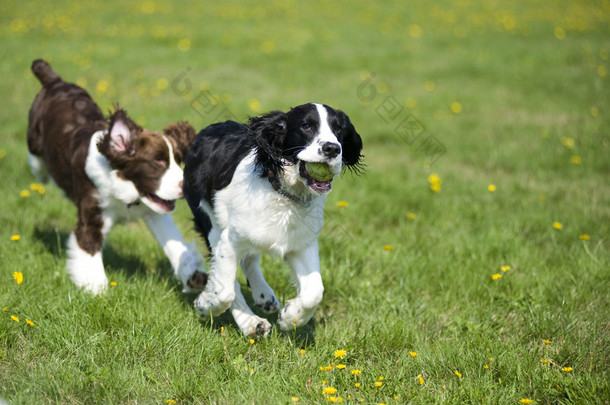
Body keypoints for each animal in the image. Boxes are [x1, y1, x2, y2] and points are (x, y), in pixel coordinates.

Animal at [27, 59, 207, 294]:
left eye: (179, 160)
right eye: (158, 162)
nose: (187, 186)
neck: (123, 187)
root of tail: (55, 82)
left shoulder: (154, 212)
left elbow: (174, 241)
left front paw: (194, 277)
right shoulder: (93, 213)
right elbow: (89, 249)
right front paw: (98, 291)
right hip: (34, 140)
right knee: (37, 163)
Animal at [180, 102, 360, 334]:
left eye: (338, 129)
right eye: (306, 126)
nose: (332, 148)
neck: (282, 192)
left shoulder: (302, 244)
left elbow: (314, 292)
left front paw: (290, 317)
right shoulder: (229, 241)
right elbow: (225, 290)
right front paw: (204, 305)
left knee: (250, 260)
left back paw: (264, 296)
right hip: (210, 221)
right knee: (229, 279)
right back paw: (251, 322)